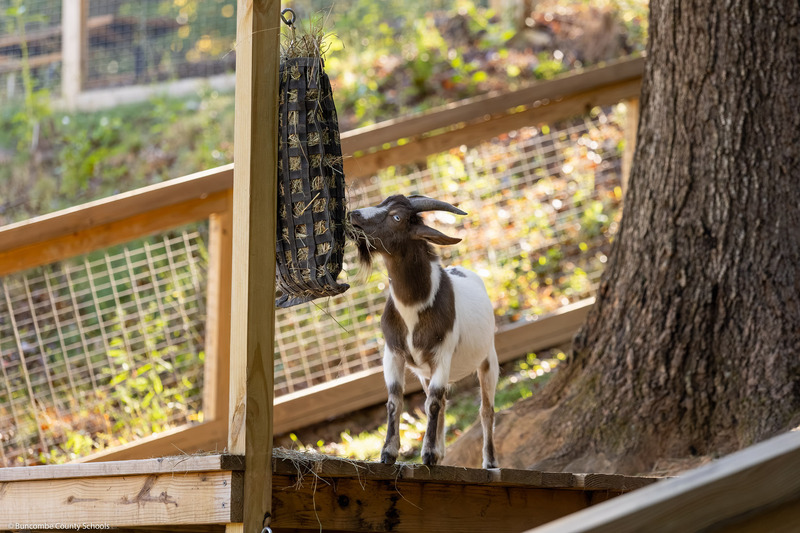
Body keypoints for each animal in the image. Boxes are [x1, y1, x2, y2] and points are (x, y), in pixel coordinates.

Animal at [349, 194, 499, 468]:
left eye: (397, 216)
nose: (353, 215)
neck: (413, 309)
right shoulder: (393, 353)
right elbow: (395, 401)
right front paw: (388, 453)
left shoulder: (443, 354)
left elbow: (433, 404)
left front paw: (427, 454)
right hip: (426, 372)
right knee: (442, 401)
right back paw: (441, 453)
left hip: (488, 358)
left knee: (485, 409)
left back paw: (490, 463)